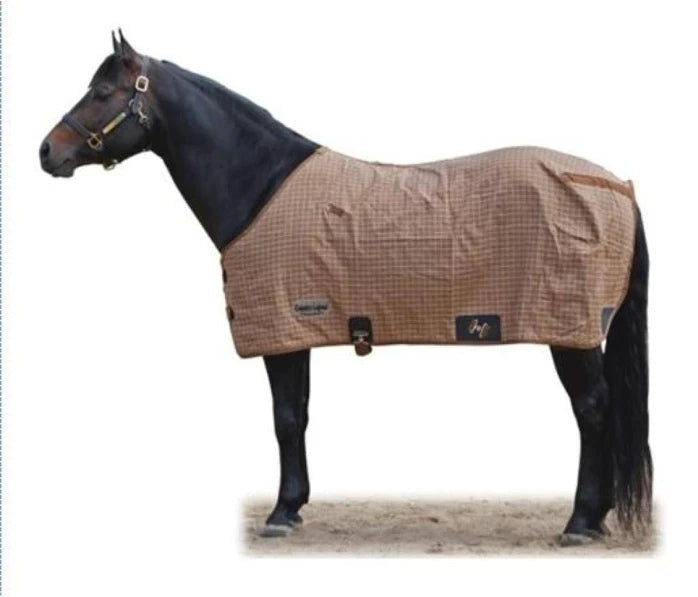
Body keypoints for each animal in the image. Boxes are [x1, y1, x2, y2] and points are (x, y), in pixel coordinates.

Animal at [39, 31, 652, 544]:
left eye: (101, 92)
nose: (47, 151)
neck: (261, 185)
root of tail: (616, 186)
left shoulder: (280, 328)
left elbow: (285, 418)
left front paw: (281, 513)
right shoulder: (298, 330)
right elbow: (301, 415)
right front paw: (295, 506)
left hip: (569, 329)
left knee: (593, 410)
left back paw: (581, 521)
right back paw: (595, 518)